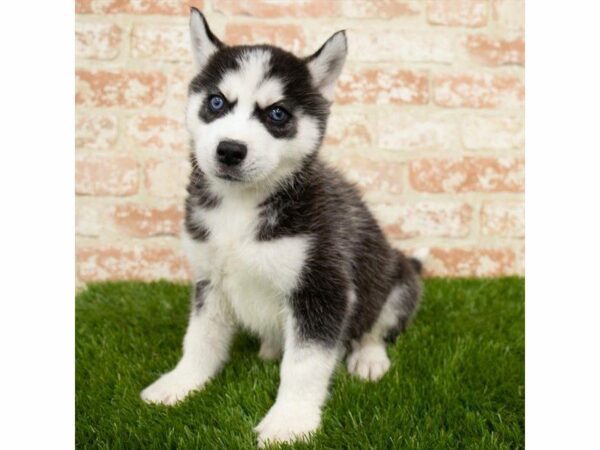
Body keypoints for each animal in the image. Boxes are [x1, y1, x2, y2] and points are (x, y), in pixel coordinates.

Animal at [142, 8, 422, 448]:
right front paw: (180, 383)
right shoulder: (210, 279)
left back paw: (368, 357)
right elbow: (200, 340)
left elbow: (305, 364)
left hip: (398, 278)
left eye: (277, 114)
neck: (241, 206)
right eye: (216, 102)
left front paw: (290, 421)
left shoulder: (322, 287)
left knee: (376, 326)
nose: (230, 150)